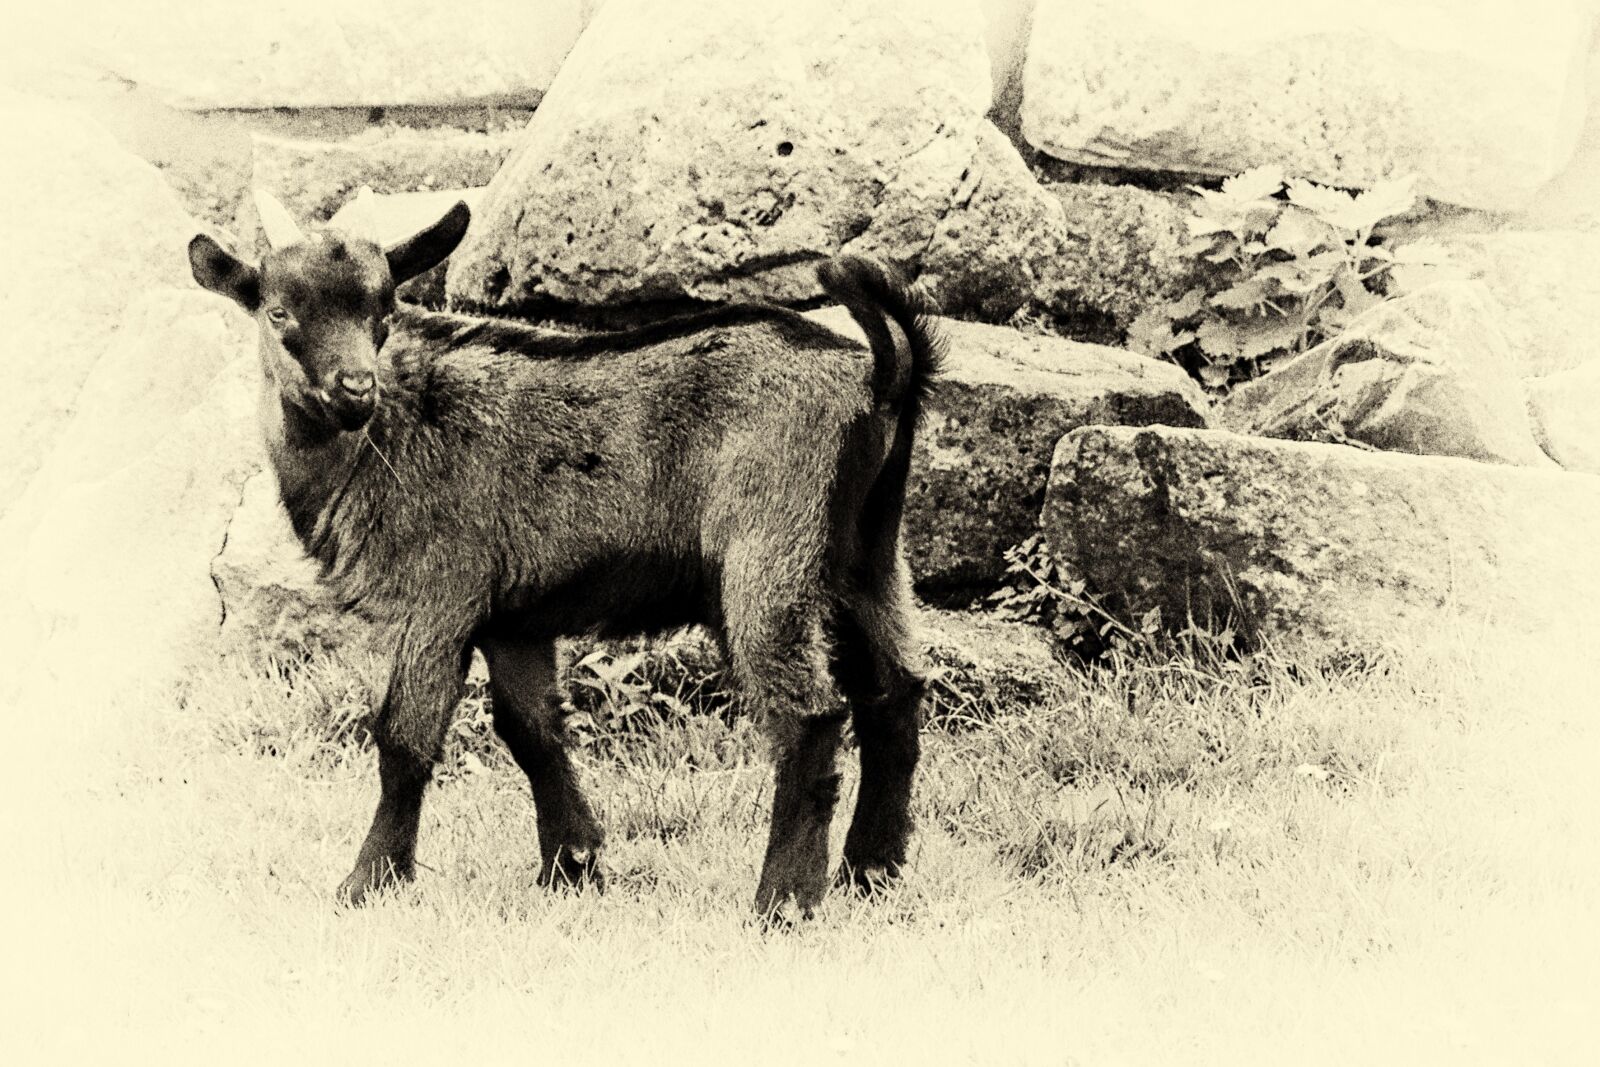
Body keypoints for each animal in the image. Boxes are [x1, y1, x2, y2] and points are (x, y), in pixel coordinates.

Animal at [187, 190, 943, 918]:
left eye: (385, 308)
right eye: (280, 311)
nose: (354, 389)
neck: (387, 434)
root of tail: (881, 373)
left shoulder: (439, 594)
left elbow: (404, 738)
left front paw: (367, 882)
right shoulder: (513, 618)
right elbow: (532, 730)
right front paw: (573, 866)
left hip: (771, 548)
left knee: (809, 715)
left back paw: (783, 901)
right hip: (865, 554)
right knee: (894, 692)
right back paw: (870, 873)